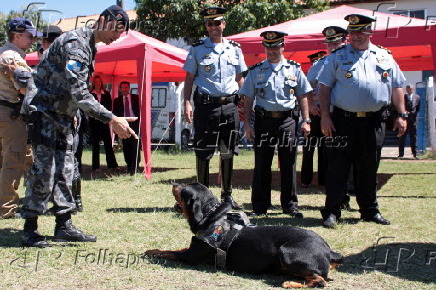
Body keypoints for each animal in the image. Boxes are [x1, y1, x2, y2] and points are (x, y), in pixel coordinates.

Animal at [145, 184, 342, 288]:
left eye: (184, 190)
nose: (175, 184)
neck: (211, 217)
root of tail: (329, 251)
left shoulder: (191, 256)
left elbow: (171, 253)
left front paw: (153, 253)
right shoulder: (192, 247)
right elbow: (175, 248)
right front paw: (153, 249)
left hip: (287, 252)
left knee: (320, 280)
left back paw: (290, 283)